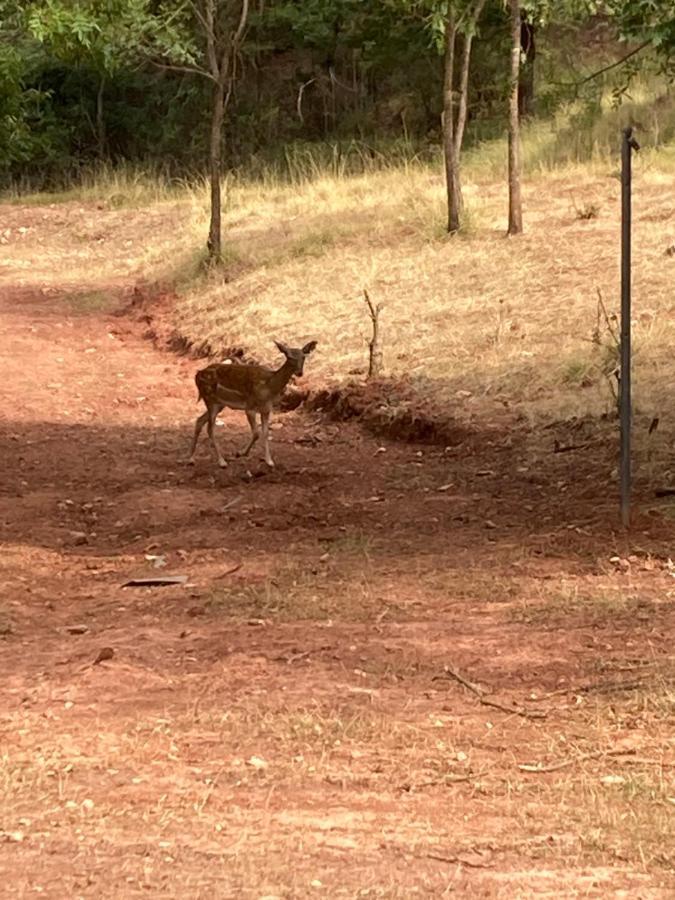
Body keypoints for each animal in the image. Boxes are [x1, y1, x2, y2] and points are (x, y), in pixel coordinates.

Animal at [189, 340, 318, 472]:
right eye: (289, 356)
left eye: (303, 357)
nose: (299, 373)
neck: (269, 388)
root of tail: (197, 375)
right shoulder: (250, 407)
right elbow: (256, 433)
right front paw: (241, 453)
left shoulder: (267, 409)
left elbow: (265, 433)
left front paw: (269, 461)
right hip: (210, 398)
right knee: (210, 429)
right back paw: (222, 462)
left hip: (219, 404)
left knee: (199, 420)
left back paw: (191, 459)